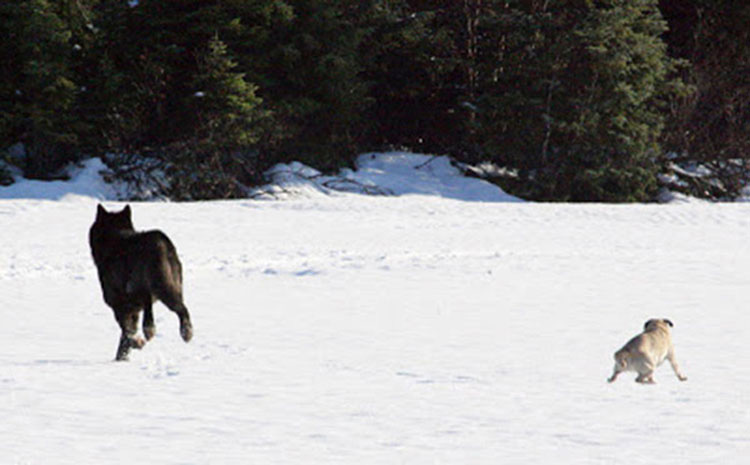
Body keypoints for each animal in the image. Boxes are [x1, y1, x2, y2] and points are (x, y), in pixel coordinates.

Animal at [90, 205, 194, 360]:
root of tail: (160, 242)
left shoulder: (119, 305)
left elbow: (126, 331)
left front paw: (136, 343)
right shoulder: (133, 310)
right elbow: (125, 336)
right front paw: (122, 358)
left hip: (148, 286)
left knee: (149, 302)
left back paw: (149, 330)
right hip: (171, 288)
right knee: (182, 309)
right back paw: (186, 333)